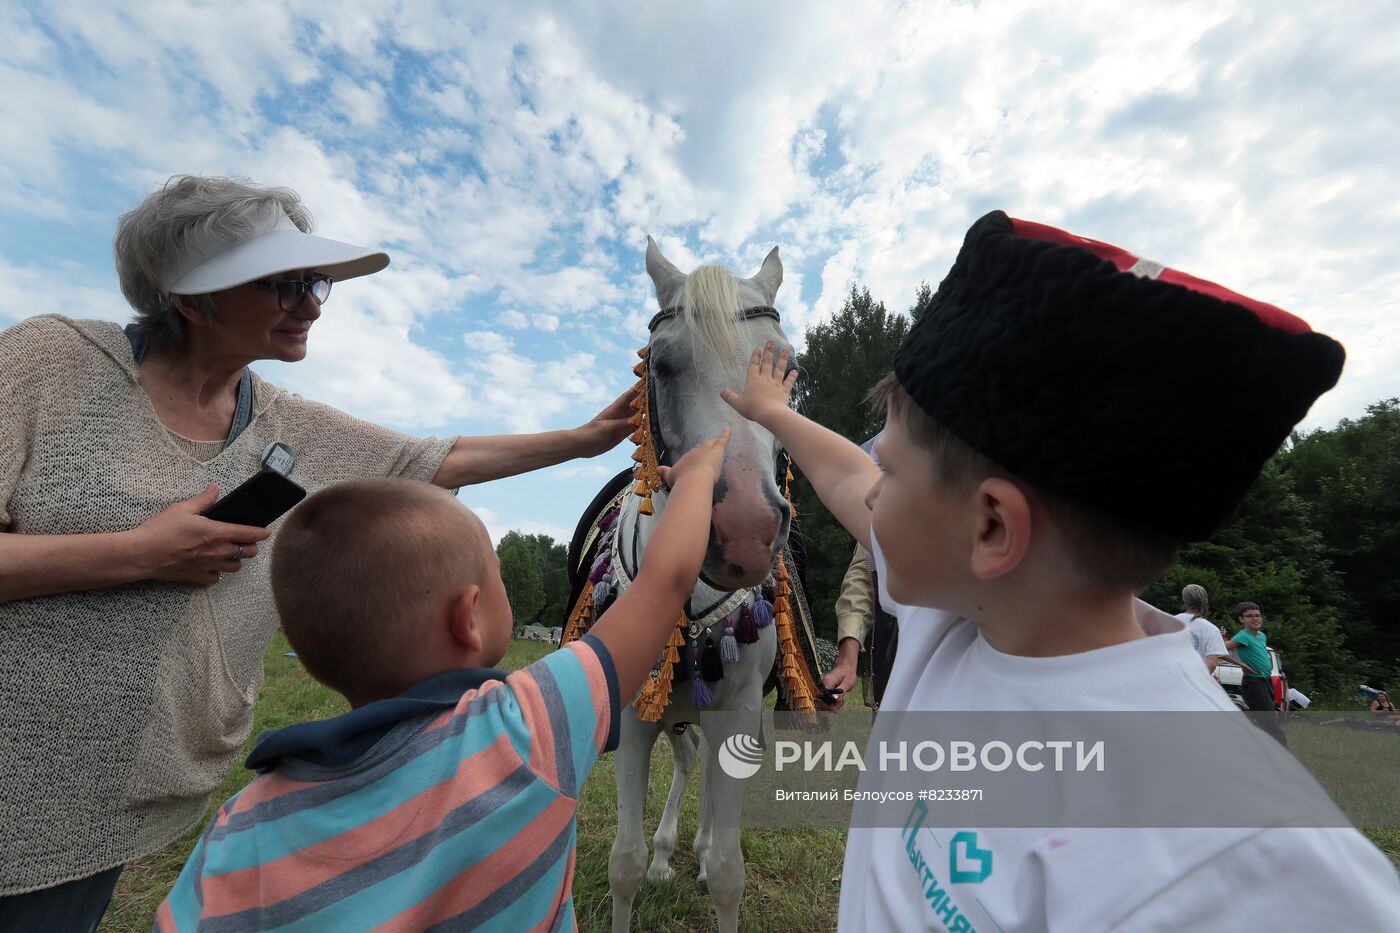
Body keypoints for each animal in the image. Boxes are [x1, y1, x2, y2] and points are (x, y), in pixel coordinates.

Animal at [604, 236, 795, 924]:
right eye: (660, 367)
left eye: (788, 370)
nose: (744, 530)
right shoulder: (635, 719)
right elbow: (625, 864)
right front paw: (649, 862)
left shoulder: (737, 713)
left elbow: (730, 874)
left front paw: (714, 862)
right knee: (689, 764)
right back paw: (667, 855)